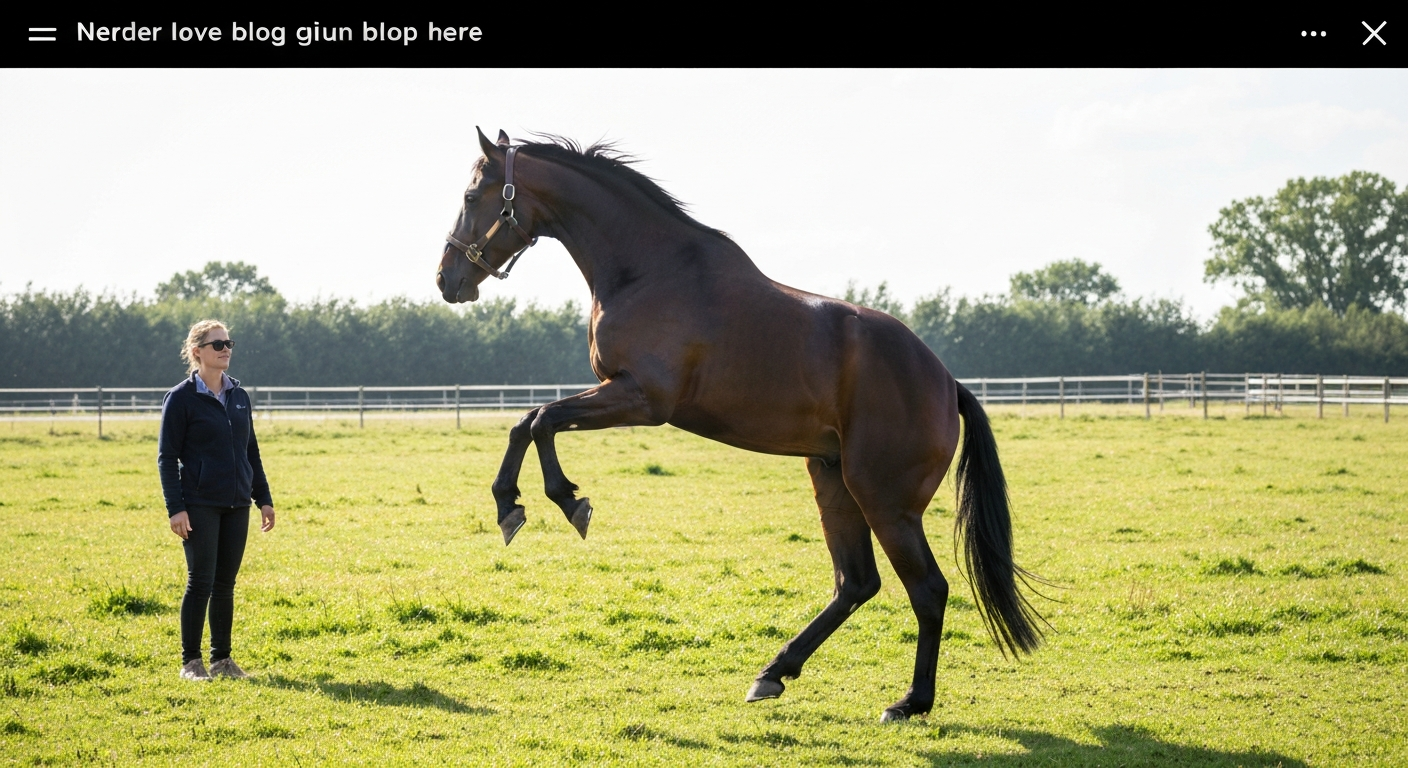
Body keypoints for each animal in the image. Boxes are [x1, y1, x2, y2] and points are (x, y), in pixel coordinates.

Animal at [435, 129, 1043, 722]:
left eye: (471, 196)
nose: (447, 278)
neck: (649, 272)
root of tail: (945, 381)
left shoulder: (641, 398)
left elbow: (541, 420)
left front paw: (561, 501)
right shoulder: (621, 394)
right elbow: (526, 422)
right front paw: (510, 505)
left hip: (885, 501)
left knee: (928, 589)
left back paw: (910, 701)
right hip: (832, 479)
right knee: (856, 582)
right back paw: (773, 673)